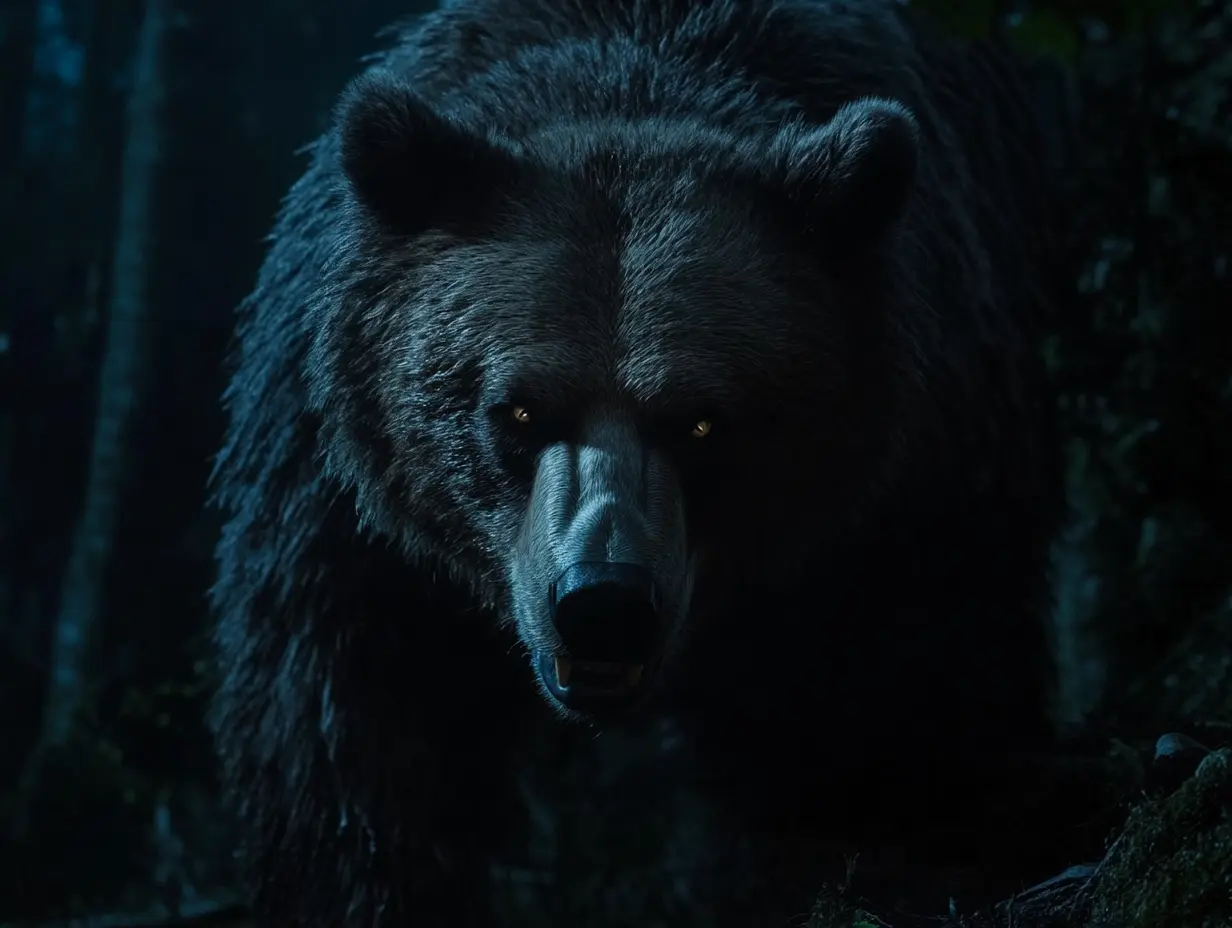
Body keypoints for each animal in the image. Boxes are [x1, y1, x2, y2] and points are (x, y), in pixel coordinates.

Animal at [208, 0, 1068, 924]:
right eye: (516, 408)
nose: (602, 602)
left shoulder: (906, 498)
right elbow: (348, 740)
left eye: (701, 422)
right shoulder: (351, 522)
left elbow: (887, 721)